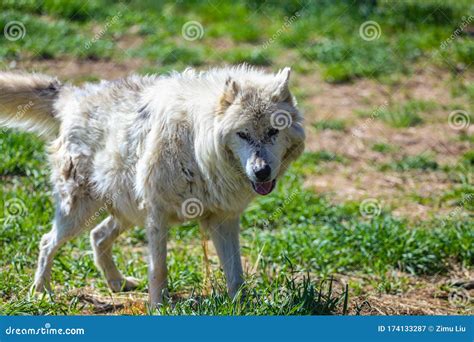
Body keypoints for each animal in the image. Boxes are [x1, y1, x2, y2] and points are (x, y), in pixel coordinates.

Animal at [0, 65, 304, 306]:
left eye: (273, 131)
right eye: (242, 134)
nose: (261, 172)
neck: (196, 148)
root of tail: (72, 97)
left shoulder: (224, 219)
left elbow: (235, 273)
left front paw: (241, 305)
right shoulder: (158, 214)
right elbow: (159, 270)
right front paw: (159, 307)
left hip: (127, 212)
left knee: (97, 236)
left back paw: (117, 284)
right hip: (79, 213)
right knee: (46, 241)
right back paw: (41, 291)